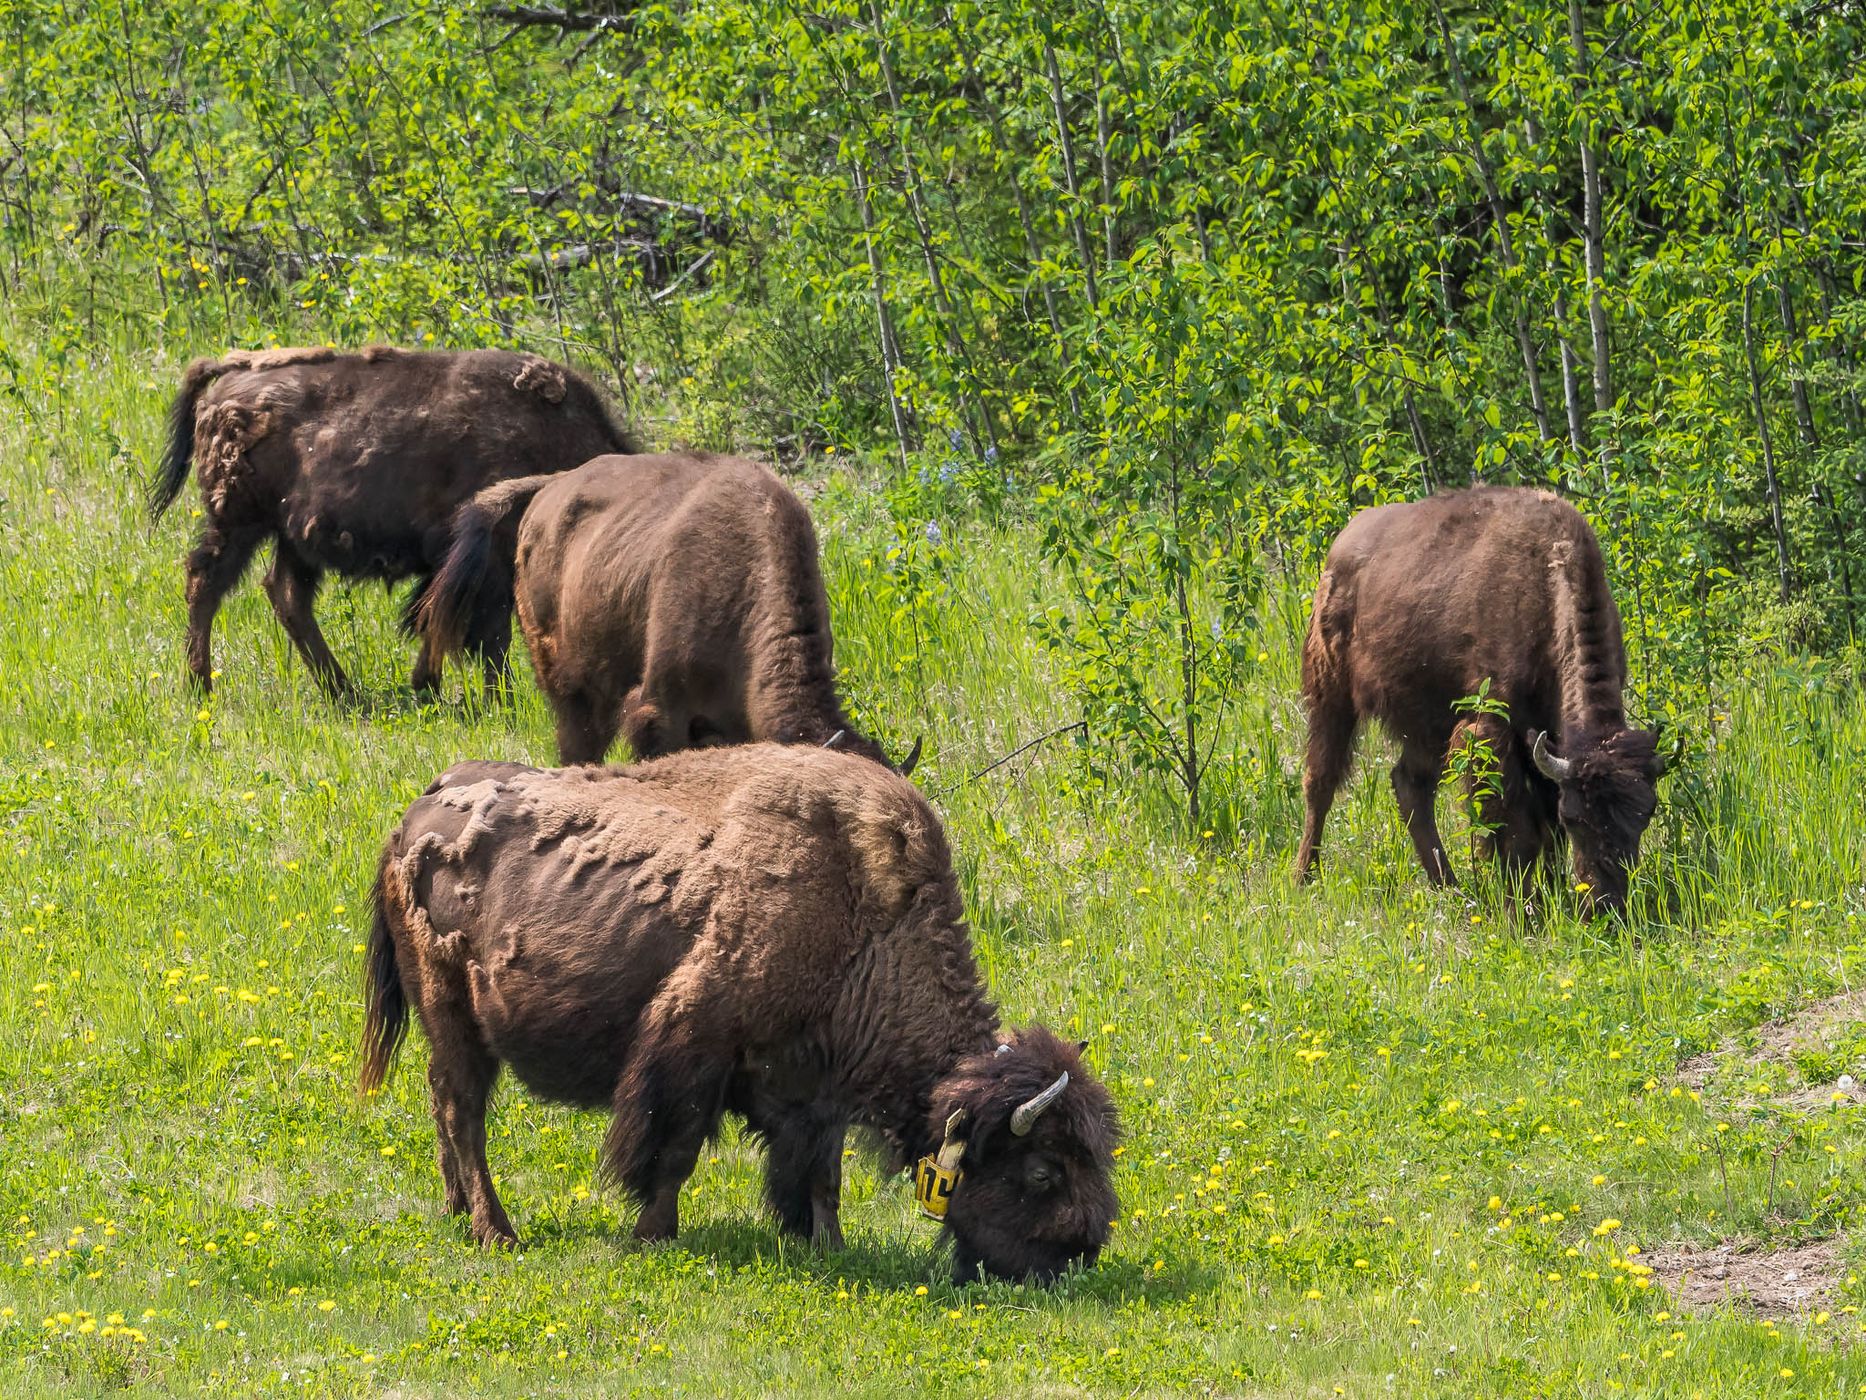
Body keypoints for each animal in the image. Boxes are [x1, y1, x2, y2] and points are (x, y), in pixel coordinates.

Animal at [149, 346, 638, 696]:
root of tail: (227, 377)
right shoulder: (487, 564)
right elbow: (486, 635)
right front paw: (496, 699)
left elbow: (439, 620)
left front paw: (429, 686)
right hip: (238, 522)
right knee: (206, 582)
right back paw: (201, 686)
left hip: (291, 538)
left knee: (285, 595)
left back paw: (342, 692)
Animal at [359, 744, 1119, 1282]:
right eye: (1043, 1172)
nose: (1076, 1258)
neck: (862, 918)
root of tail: (409, 821)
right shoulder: (694, 1045)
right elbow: (674, 1150)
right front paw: (653, 1235)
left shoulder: (817, 1089)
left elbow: (821, 1174)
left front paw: (829, 1245)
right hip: (451, 1007)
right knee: (464, 1110)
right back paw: (496, 1231)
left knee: (444, 1102)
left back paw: (459, 1210)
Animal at [1295, 486, 1670, 914]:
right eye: (1575, 817)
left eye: (1645, 813)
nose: (1607, 903)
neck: (1545, 583)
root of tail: (1341, 546)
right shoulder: (1492, 731)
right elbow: (1516, 829)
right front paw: (1522, 910)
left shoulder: (1543, 746)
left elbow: (1544, 831)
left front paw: (1550, 894)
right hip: (1331, 691)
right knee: (1321, 782)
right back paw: (1304, 876)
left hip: (1427, 725)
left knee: (1409, 786)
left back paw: (1450, 888)